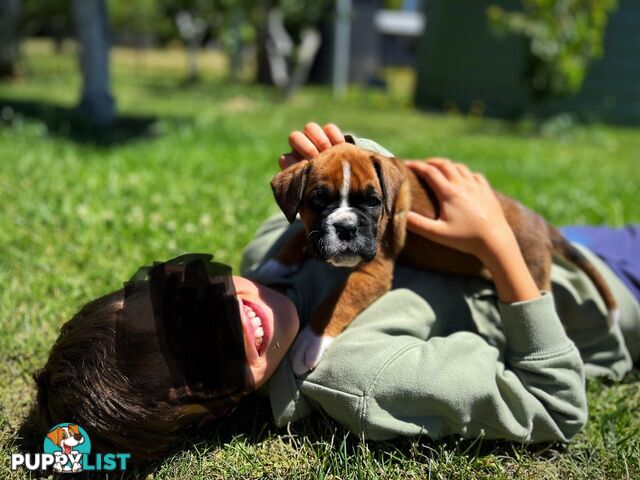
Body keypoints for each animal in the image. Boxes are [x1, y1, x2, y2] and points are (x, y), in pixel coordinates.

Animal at [270, 142, 620, 376]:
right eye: (318, 201)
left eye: (373, 201)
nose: (346, 227)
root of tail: (544, 225)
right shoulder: (314, 230)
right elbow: (300, 233)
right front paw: (277, 263)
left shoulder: (374, 272)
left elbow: (336, 301)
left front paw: (311, 340)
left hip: (532, 272)